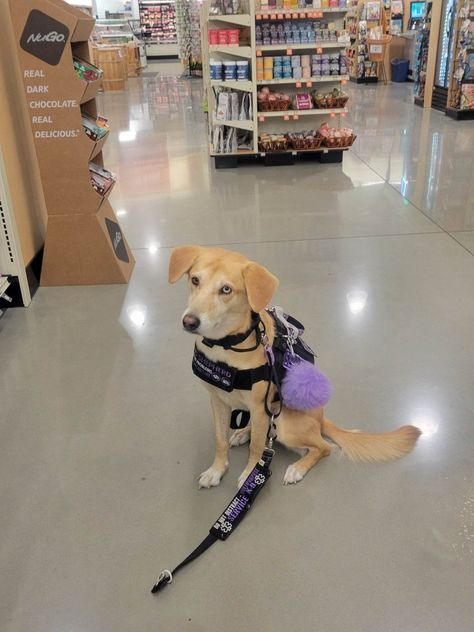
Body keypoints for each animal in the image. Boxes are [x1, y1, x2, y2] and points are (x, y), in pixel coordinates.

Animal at [168, 244, 420, 486]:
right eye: (195, 280)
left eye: (226, 290)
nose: (189, 321)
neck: (226, 346)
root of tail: (321, 418)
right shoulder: (218, 401)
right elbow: (219, 440)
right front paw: (216, 470)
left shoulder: (260, 408)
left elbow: (257, 448)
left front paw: (250, 476)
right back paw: (243, 432)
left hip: (283, 423)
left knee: (323, 447)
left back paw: (297, 469)